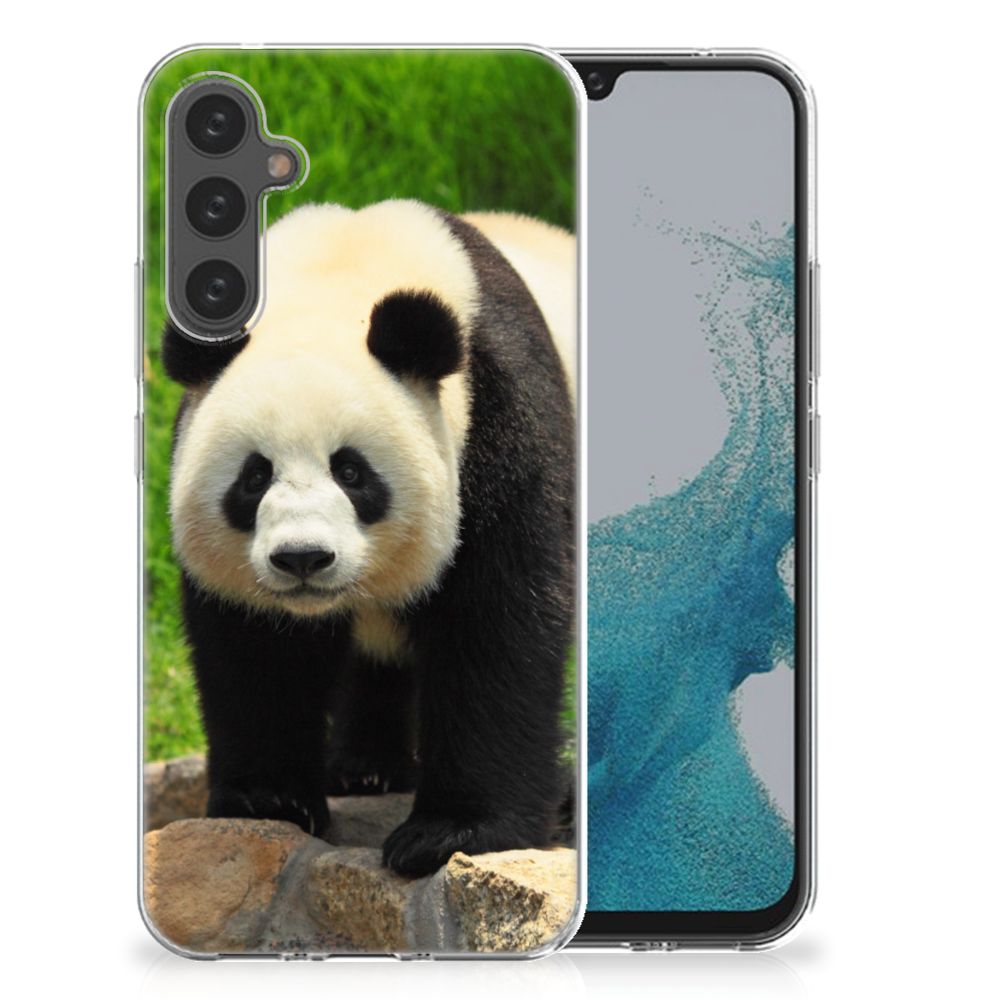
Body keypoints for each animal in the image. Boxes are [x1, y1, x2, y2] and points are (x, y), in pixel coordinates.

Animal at [163, 199, 576, 877]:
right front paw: (269, 800)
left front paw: (451, 832)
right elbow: (257, 648)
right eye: (254, 476)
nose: (303, 558)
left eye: (352, 472)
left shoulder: (502, 420)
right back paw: (364, 769)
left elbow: (498, 623)